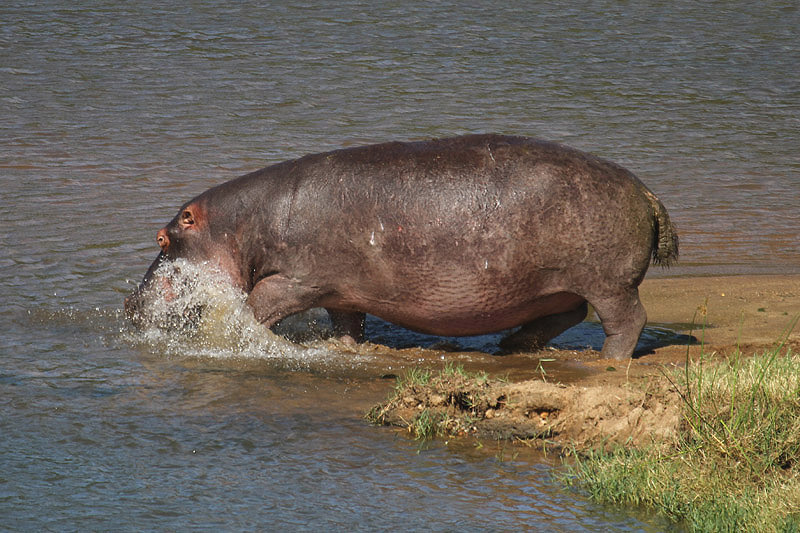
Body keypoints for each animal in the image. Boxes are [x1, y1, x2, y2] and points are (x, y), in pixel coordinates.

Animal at [125, 134, 678, 360]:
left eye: (162, 238)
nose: (128, 303)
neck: (238, 226)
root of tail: (646, 192)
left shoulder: (301, 279)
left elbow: (256, 305)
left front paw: (222, 336)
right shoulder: (340, 290)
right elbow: (347, 323)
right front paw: (343, 348)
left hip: (607, 282)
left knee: (626, 320)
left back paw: (607, 361)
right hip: (554, 286)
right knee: (566, 314)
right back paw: (513, 345)